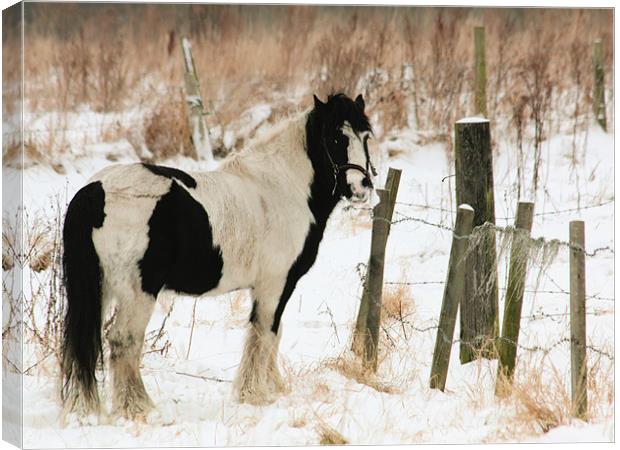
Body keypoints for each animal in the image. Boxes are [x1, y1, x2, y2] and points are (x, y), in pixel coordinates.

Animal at [60, 93, 376, 420]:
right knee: (123, 341)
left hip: (103, 288)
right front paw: (255, 394)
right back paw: (139, 407)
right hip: (138, 292)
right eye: (336, 138)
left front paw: (272, 387)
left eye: (366, 137)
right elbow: (264, 334)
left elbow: (274, 334)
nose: (361, 187)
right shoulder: (275, 284)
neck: (282, 188)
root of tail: (95, 191)